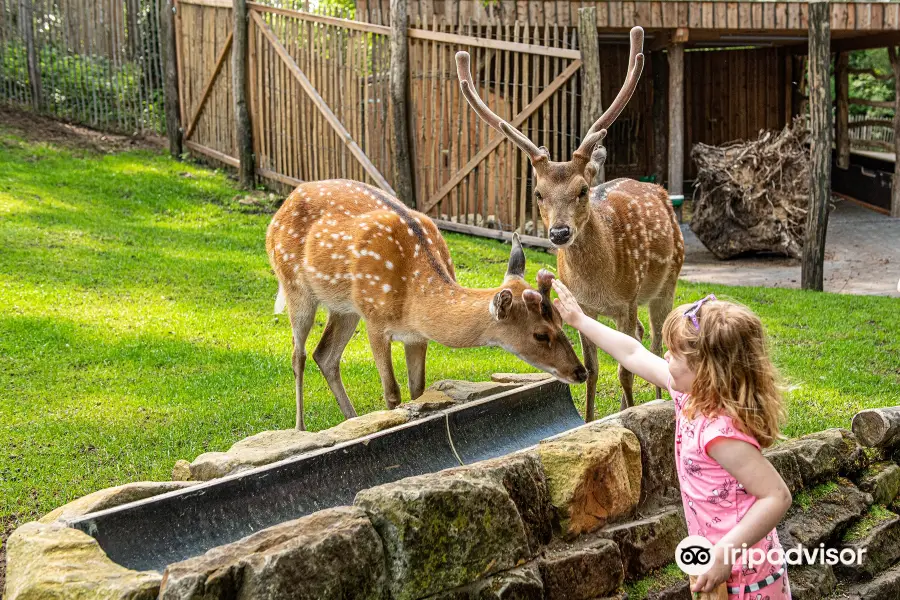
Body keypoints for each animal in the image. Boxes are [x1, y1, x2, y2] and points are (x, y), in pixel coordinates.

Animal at [266, 180, 592, 428]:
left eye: (560, 321)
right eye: (540, 334)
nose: (580, 372)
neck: (413, 299)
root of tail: (282, 207)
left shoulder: (416, 335)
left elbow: (417, 390)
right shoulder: (375, 319)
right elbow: (393, 392)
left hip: (344, 307)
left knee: (325, 354)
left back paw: (352, 419)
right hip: (295, 286)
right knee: (299, 355)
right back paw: (301, 429)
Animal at [458, 25, 684, 420]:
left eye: (582, 189)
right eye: (537, 193)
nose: (560, 232)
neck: (600, 283)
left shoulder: (627, 301)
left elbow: (626, 370)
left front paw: (630, 414)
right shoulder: (587, 309)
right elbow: (594, 370)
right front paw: (594, 419)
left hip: (665, 285)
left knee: (656, 342)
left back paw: (656, 398)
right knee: (642, 337)